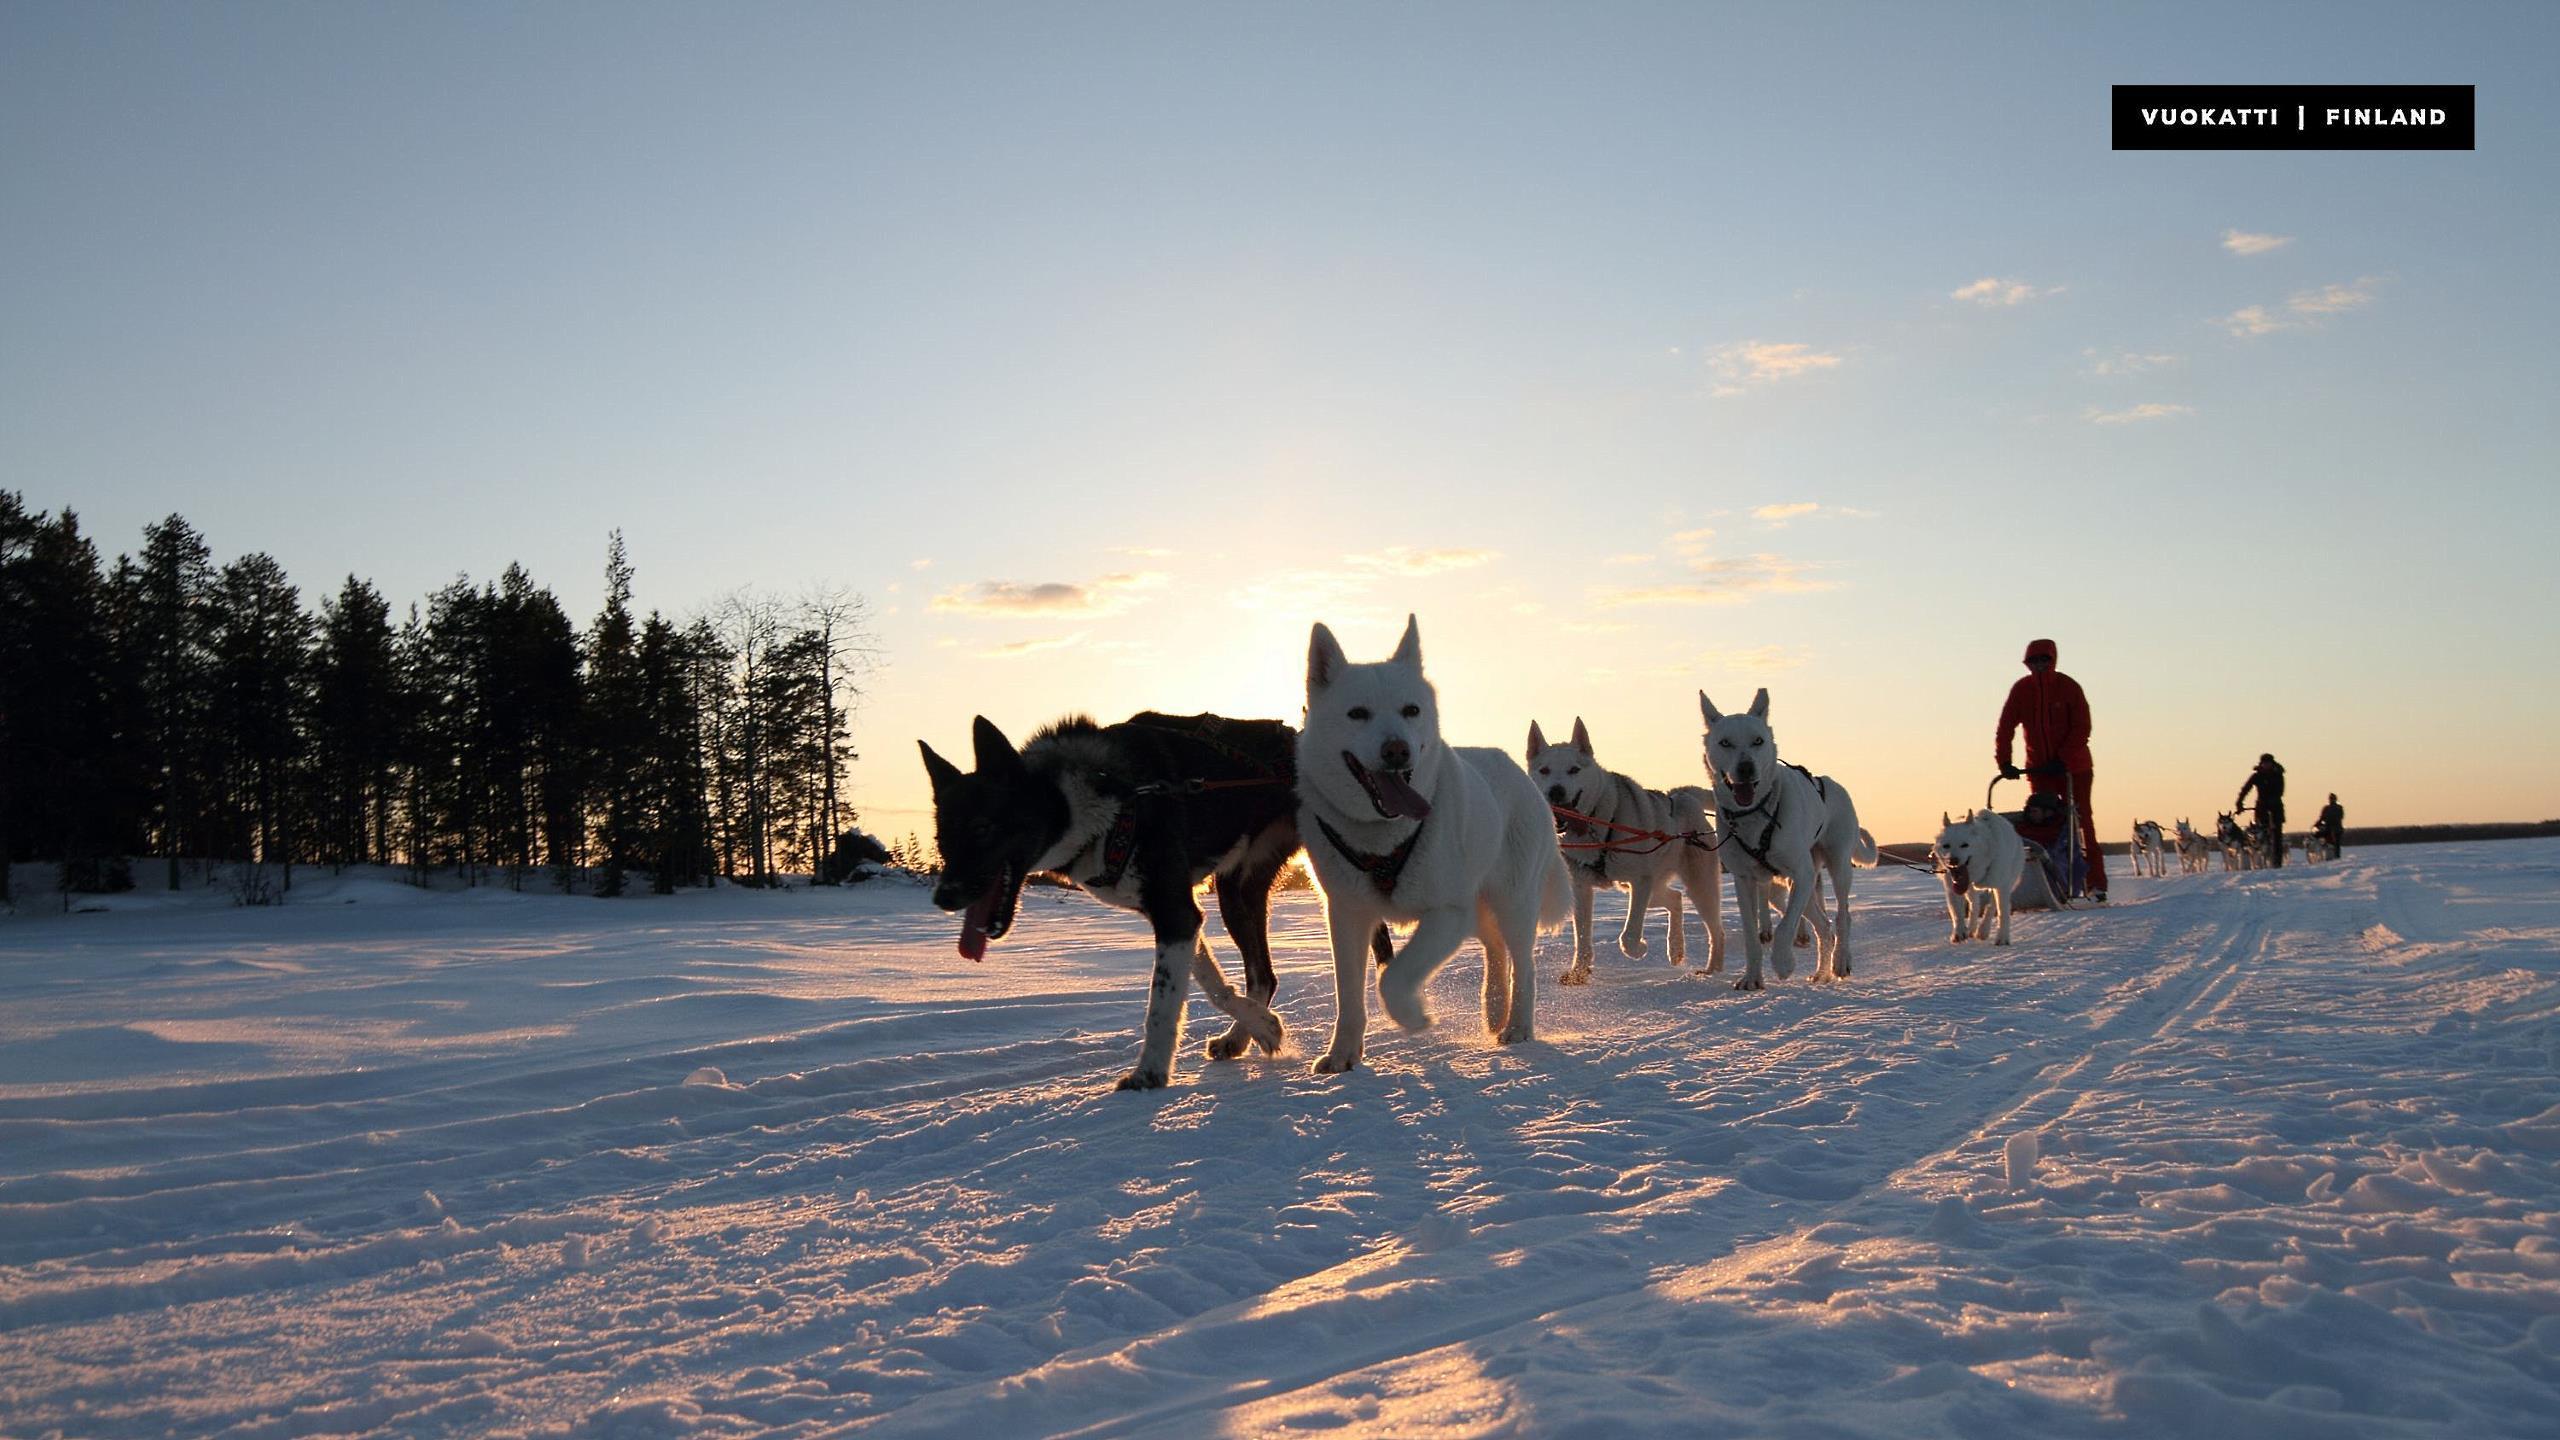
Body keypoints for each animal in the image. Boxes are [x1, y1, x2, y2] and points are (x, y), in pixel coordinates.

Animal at [921, 707, 1320, 1086]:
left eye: (982, 828)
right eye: (941, 840)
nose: (943, 897)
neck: (1101, 796)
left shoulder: (1175, 912)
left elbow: (1161, 1005)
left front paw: (1149, 1075)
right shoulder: (1180, 916)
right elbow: (1215, 988)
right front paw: (1264, 1026)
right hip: (1236, 890)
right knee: (1264, 974)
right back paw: (1237, 1038)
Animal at [1290, 609, 1566, 1071]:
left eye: (1411, 710)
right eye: (1357, 713)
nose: (1397, 750)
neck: (1383, 837)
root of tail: (1519, 771)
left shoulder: (1446, 913)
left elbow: (1392, 976)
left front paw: (1414, 1016)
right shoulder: (1346, 914)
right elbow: (1349, 996)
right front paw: (1342, 1054)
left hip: (1511, 900)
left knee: (1523, 965)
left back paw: (1517, 1026)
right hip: (1480, 905)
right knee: (1496, 951)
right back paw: (1494, 1009)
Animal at [1525, 712, 1730, 973]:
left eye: (1574, 769)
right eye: (1544, 770)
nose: (1556, 791)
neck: (1598, 826)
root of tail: (1681, 794)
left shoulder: (1640, 881)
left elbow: (1630, 934)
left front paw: (1638, 948)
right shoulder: (1581, 887)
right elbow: (1582, 938)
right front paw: (1578, 973)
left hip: (1697, 885)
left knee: (1716, 929)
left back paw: (1712, 969)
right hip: (1644, 887)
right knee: (1675, 898)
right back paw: (1676, 949)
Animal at [1699, 686, 1884, 983]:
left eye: (1758, 741)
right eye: (1725, 743)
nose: (1746, 768)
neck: (1758, 813)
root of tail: (1832, 784)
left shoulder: (1801, 872)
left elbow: (1785, 926)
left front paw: (1783, 962)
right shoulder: (1744, 879)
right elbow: (1751, 935)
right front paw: (1752, 977)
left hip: (1836, 867)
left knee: (1842, 917)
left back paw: (1840, 962)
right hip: (1801, 886)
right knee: (1823, 925)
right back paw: (1821, 973)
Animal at [1935, 809, 2017, 942]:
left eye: (1965, 845)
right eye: (1946, 846)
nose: (1953, 861)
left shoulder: (2002, 886)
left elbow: (2002, 911)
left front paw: (2002, 938)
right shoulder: (1952, 888)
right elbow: (1956, 912)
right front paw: (1959, 933)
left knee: (1991, 907)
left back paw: (1983, 930)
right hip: (1970, 890)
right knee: (1975, 905)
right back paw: (1971, 929)